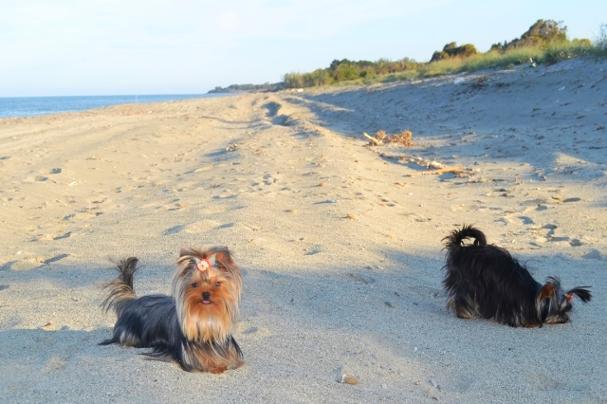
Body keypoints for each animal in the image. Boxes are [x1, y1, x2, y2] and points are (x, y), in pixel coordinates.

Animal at [444, 226, 592, 326]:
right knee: (462, 297)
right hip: (467, 282)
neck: (534, 296)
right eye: (559, 311)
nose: (566, 319)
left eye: (567, 310)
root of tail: (461, 249)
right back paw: (465, 313)